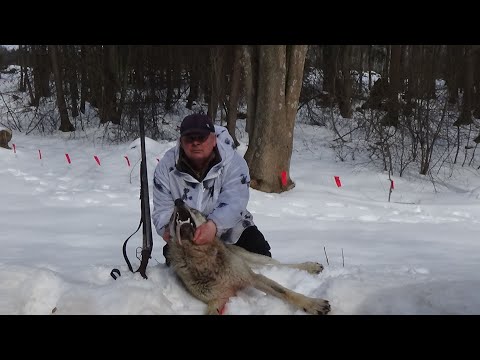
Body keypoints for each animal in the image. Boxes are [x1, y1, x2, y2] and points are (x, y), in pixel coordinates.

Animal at [165, 200, 330, 316]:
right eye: (172, 217)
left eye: (194, 210)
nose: (178, 200)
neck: (202, 258)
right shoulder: (217, 300)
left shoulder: (253, 278)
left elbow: (286, 293)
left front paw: (314, 304)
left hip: (256, 260)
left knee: (280, 264)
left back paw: (312, 267)